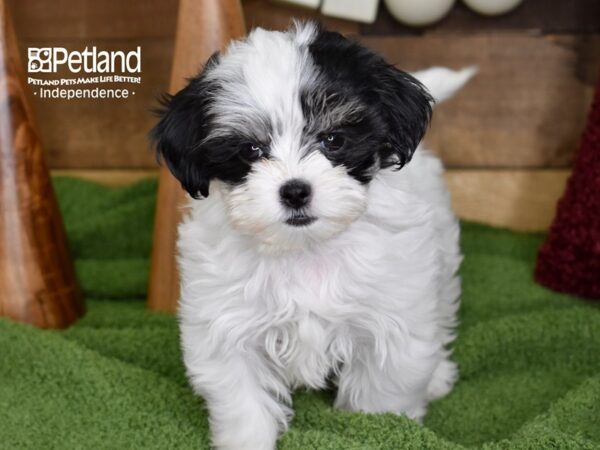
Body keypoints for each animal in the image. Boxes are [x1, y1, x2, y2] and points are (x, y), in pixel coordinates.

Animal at [152, 22, 476, 450]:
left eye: (334, 139)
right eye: (251, 150)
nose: (295, 191)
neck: (304, 250)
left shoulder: (390, 318)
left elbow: (382, 397)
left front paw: (375, 431)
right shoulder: (227, 328)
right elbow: (243, 402)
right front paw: (248, 439)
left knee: (439, 310)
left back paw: (437, 375)